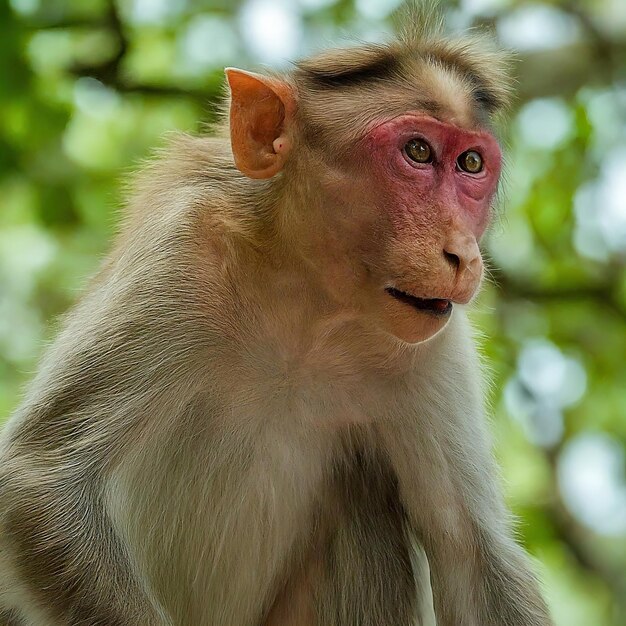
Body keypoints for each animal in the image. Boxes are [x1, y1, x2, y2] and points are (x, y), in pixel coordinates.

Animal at [0, 11, 552, 624]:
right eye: (418, 152)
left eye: (470, 163)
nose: (463, 253)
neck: (309, 307)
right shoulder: (183, 250)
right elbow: (41, 481)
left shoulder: (434, 345)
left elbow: (472, 556)